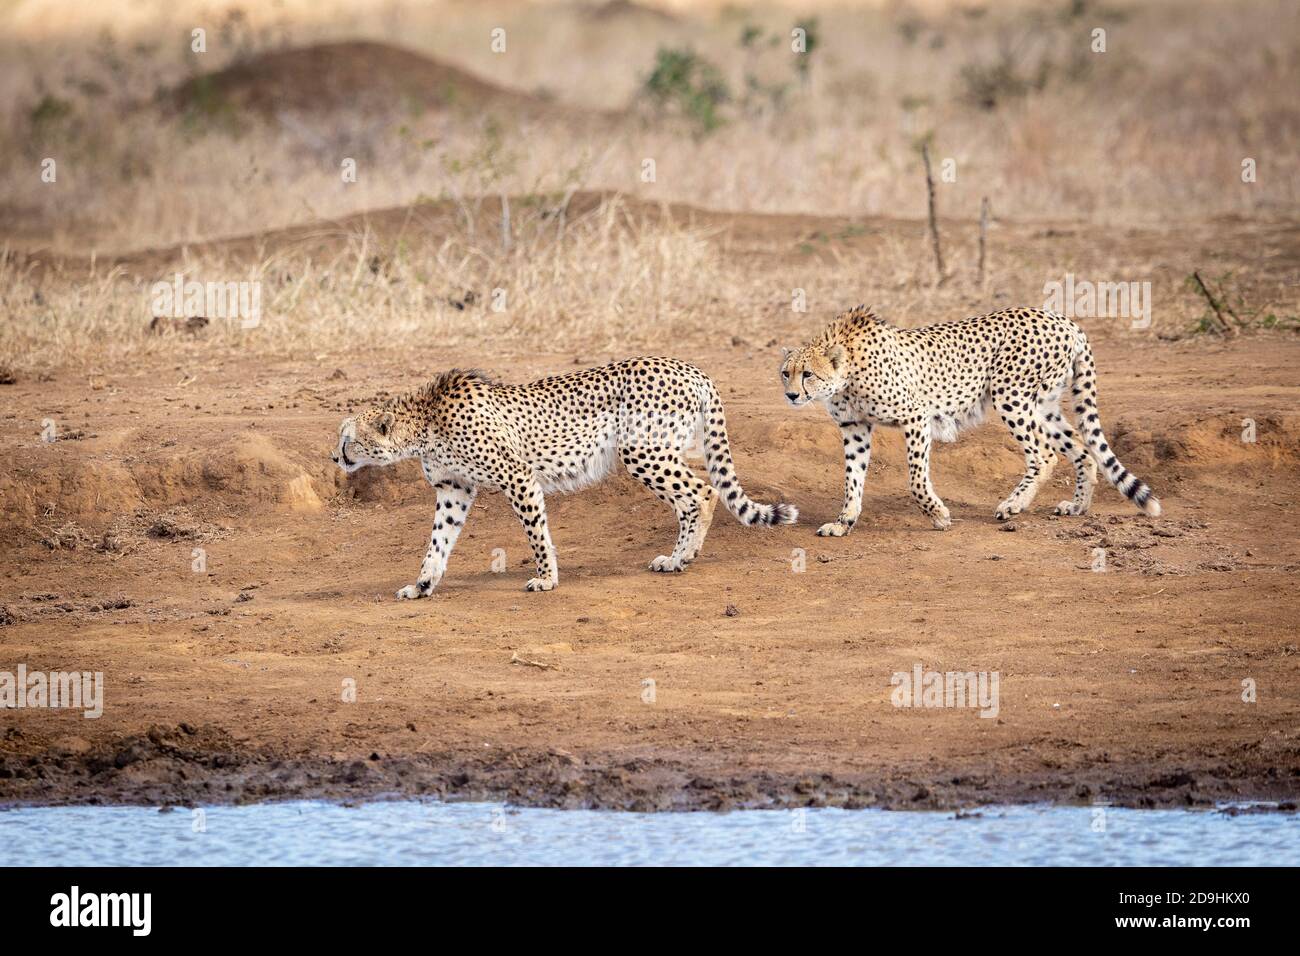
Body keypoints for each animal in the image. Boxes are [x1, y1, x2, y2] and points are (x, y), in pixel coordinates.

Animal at [330, 358, 795, 598]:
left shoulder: (518, 476)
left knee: (702, 493)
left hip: (641, 451)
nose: (335, 456)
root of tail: (690, 367)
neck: (425, 422)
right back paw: (684, 555)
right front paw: (423, 584)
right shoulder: (454, 489)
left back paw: (680, 557)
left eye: (347, 438)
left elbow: (536, 534)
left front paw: (547, 578)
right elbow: (438, 541)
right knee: (702, 491)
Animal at [774, 304, 1164, 535]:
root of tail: (1062, 319)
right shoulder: (855, 427)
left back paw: (1013, 505)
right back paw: (1078, 506)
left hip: (1012, 397)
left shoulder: (916, 417)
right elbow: (852, 480)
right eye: (785, 373)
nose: (791, 395)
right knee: (1082, 449)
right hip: (1045, 405)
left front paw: (938, 515)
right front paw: (844, 522)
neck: (848, 369)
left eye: (807, 374)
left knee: (1044, 454)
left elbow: (916, 479)